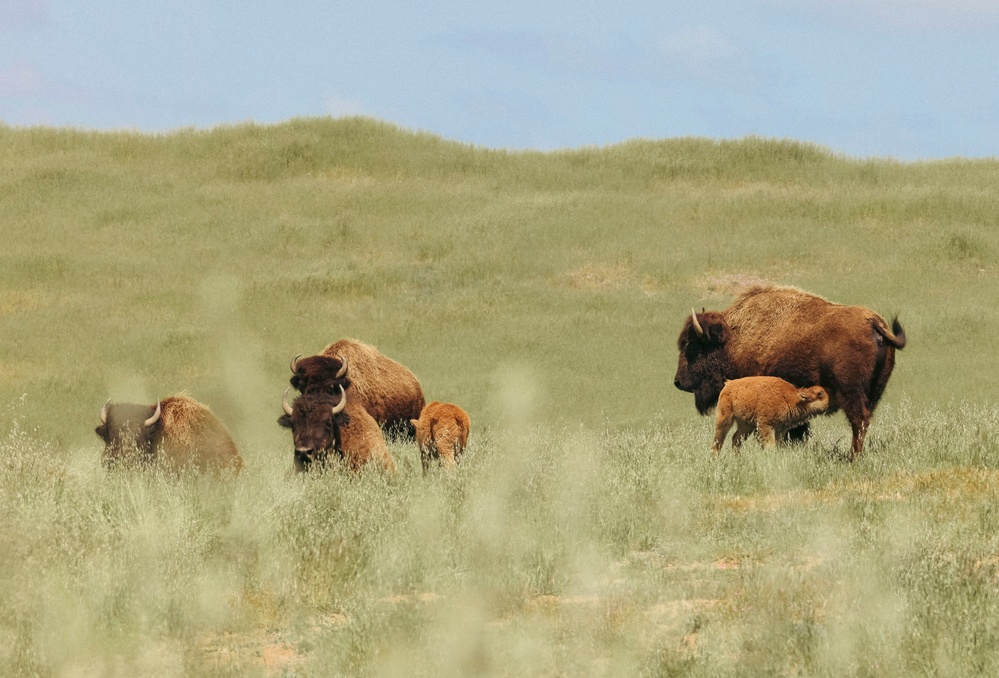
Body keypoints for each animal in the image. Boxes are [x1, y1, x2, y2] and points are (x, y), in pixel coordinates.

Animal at [680, 286, 908, 462]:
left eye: (694, 348)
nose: (678, 381)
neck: (733, 339)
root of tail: (874, 322)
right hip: (874, 392)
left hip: (851, 392)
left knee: (858, 420)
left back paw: (853, 457)